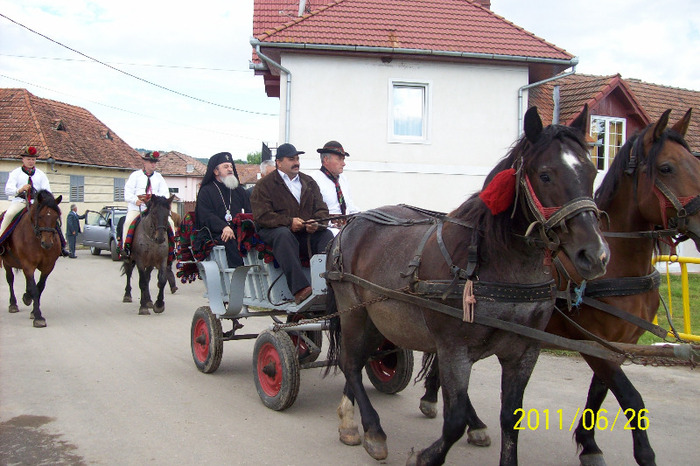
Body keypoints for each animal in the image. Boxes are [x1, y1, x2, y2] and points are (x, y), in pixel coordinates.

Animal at [0, 189, 63, 328]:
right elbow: (34, 288)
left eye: (56, 217)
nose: (47, 243)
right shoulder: (28, 264)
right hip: (6, 262)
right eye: (40, 216)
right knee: (10, 279)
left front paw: (33, 309)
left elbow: (39, 287)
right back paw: (13, 304)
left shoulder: (48, 266)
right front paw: (38, 316)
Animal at [326, 106, 608, 466]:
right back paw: (372, 430)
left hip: (379, 319)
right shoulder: (454, 350)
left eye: (591, 171)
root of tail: (351, 224)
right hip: (354, 312)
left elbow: (511, 418)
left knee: (358, 361)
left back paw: (349, 419)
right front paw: (426, 457)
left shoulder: (524, 351)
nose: (595, 255)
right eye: (545, 175)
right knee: (349, 362)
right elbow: (454, 420)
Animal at [418, 108, 696, 466]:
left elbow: (599, 393)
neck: (620, 267)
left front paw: (589, 444)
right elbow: (631, 397)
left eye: (591, 171)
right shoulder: (590, 342)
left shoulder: (612, 346)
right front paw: (642, 453)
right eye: (667, 168)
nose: (595, 256)